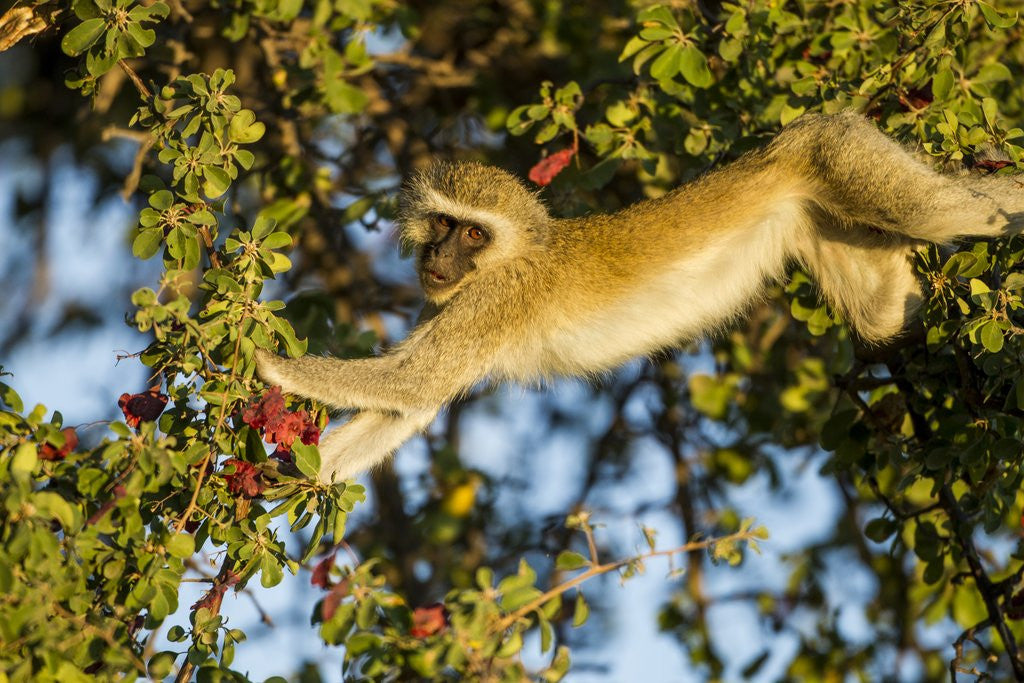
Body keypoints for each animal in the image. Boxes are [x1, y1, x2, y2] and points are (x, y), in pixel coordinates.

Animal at [256, 112, 1024, 482]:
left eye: (472, 233)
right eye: (442, 225)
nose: (439, 257)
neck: (514, 256)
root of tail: (778, 153)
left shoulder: (492, 301)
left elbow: (414, 384)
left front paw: (270, 362)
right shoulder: (449, 303)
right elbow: (411, 405)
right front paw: (290, 478)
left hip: (833, 151)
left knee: (955, 212)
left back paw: (998, 209)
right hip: (822, 203)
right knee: (887, 313)